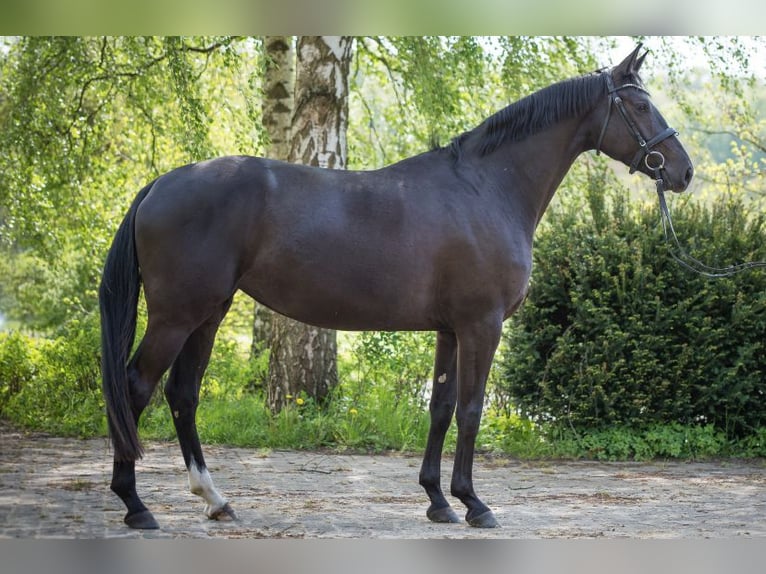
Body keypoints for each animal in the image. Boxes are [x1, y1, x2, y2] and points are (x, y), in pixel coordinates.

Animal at [99, 45, 692, 532]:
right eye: (640, 106)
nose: (682, 172)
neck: (487, 189)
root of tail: (160, 184)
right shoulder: (482, 325)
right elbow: (472, 409)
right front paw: (475, 504)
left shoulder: (450, 330)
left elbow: (442, 406)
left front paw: (438, 501)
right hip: (177, 316)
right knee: (135, 387)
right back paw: (135, 505)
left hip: (210, 313)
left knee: (183, 393)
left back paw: (215, 499)